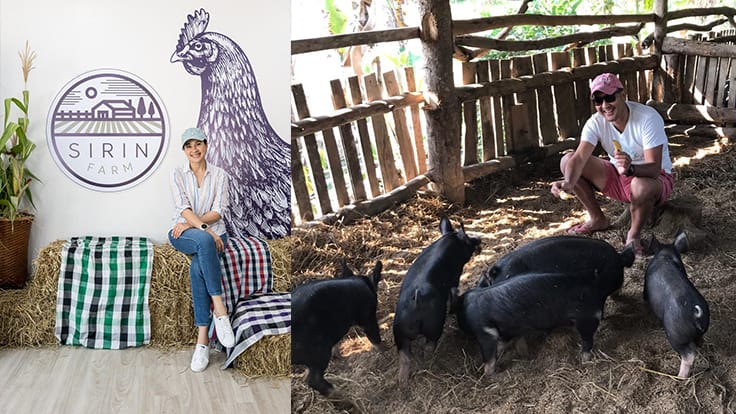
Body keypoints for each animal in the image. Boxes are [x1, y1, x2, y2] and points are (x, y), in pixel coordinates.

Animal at [294, 262, 386, 394]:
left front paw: (339, 357)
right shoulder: (368, 316)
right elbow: (374, 336)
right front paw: (385, 351)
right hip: (318, 350)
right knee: (312, 379)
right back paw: (343, 396)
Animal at [394, 217, 480, 384]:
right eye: (468, 239)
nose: (479, 239)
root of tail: (417, 299)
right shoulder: (454, 278)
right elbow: (454, 291)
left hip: (399, 331)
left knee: (404, 356)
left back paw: (403, 382)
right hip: (434, 324)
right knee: (429, 347)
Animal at [454, 270, 608, 376]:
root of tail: (594, 288)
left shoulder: (486, 331)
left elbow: (490, 355)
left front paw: (488, 375)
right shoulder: (511, 329)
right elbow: (517, 342)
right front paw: (525, 355)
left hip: (585, 319)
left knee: (588, 341)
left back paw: (583, 360)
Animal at [648, 233, 712, 378]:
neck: (666, 256)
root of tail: (695, 313)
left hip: (675, 335)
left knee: (689, 355)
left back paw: (680, 377)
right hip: (700, 331)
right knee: (698, 343)